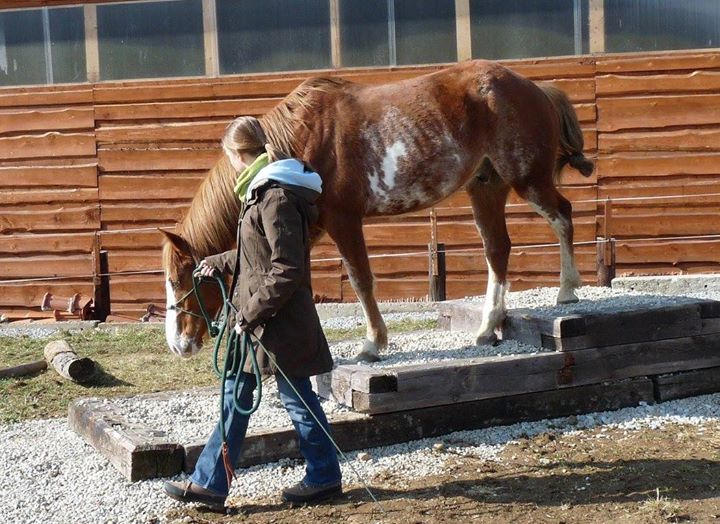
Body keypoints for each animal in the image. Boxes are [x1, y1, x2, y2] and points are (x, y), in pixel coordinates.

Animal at [162, 58, 592, 360]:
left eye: (179, 279)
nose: (178, 344)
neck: (298, 145)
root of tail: (535, 87)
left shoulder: (344, 221)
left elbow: (361, 281)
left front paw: (372, 344)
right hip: (486, 187)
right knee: (497, 249)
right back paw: (488, 326)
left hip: (527, 180)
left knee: (563, 216)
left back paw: (567, 291)